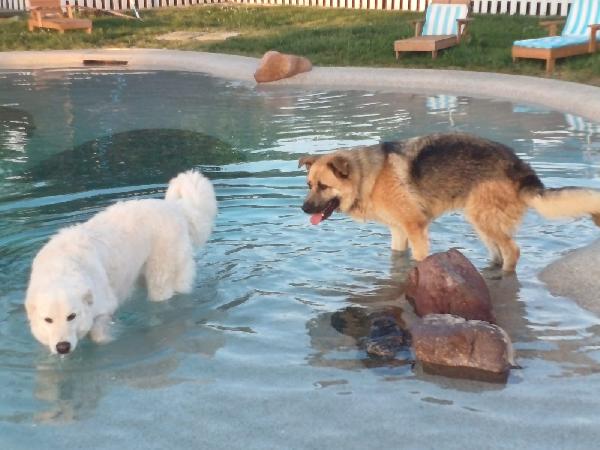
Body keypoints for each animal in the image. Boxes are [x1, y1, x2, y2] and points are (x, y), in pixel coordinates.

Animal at [26, 171, 218, 354]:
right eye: (48, 320)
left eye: (71, 316)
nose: (62, 347)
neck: (61, 267)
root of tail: (175, 208)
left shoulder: (105, 305)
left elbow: (99, 333)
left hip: (161, 278)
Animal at [300, 131, 600, 270]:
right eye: (309, 185)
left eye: (324, 186)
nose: (303, 208)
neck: (367, 176)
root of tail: (519, 166)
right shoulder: (398, 230)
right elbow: (397, 256)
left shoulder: (415, 227)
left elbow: (420, 258)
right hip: (481, 221)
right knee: (498, 253)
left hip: (484, 219)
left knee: (513, 252)